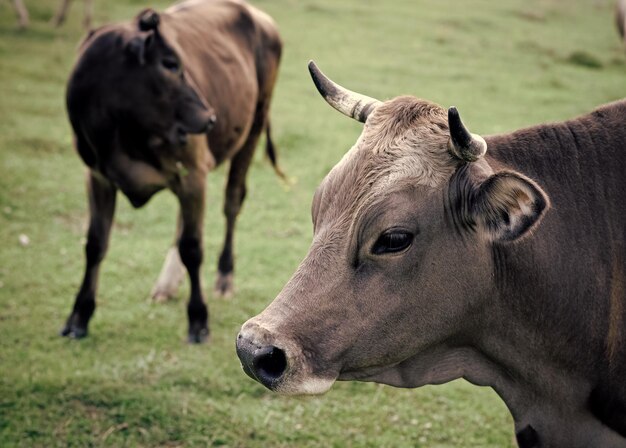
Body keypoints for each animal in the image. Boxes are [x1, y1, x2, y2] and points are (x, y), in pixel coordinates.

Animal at [61, 0, 280, 344]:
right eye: (170, 64)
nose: (210, 117)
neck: (123, 136)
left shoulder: (193, 173)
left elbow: (193, 247)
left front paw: (198, 319)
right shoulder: (97, 176)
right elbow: (95, 243)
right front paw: (79, 316)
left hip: (254, 125)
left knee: (232, 201)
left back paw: (224, 276)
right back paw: (167, 284)